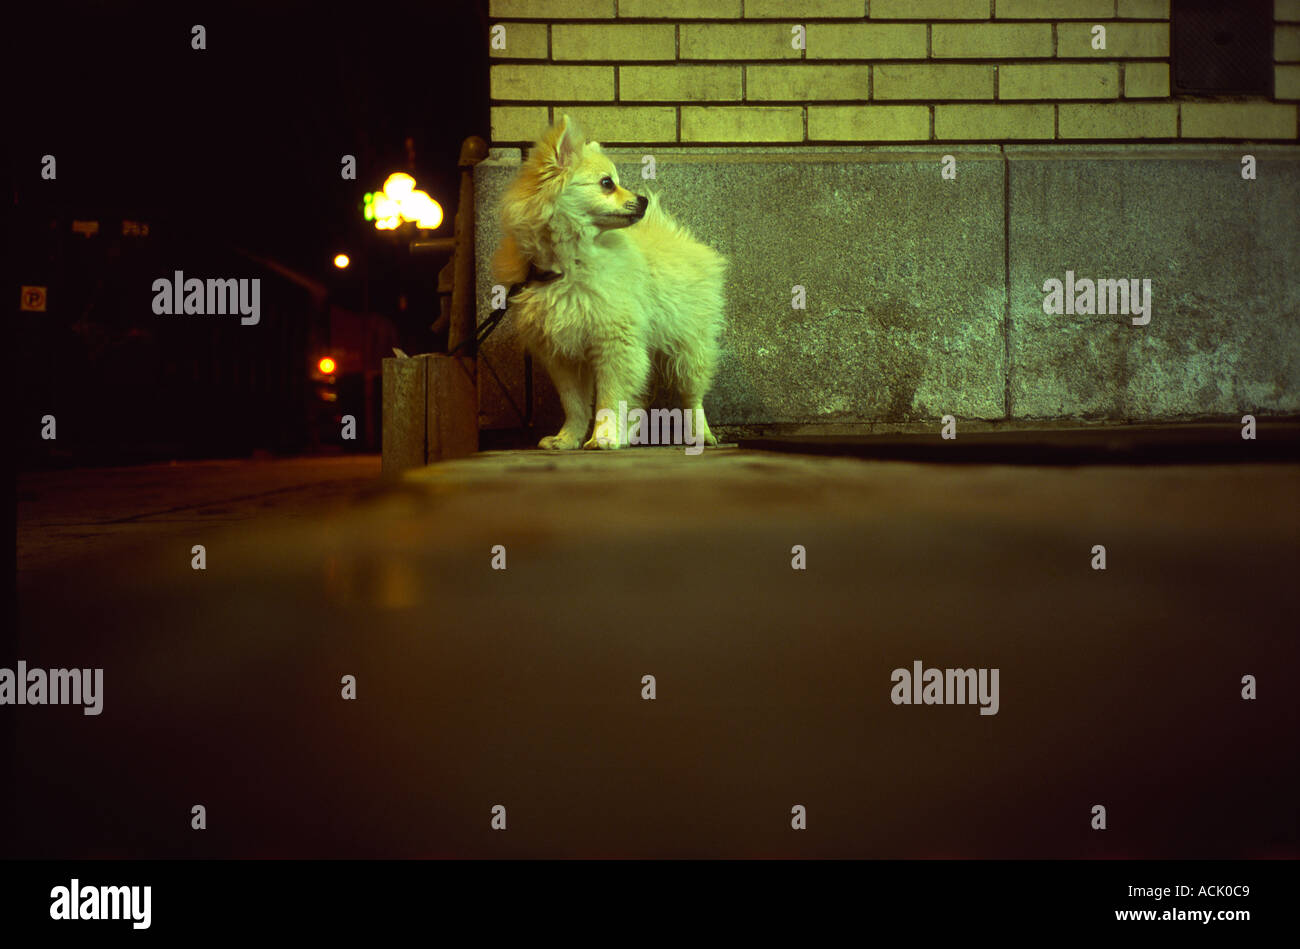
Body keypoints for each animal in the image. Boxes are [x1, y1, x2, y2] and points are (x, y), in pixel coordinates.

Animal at [491, 113, 728, 447]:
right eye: (607, 183)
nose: (642, 200)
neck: (570, 262)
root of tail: (677, 236)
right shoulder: (562, 355)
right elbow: (574, 404)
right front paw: (568, 438)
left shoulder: (615, 342)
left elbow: (609, 397)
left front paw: (603, 436)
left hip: (689, 344)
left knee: (692, 395)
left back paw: (701, 434)